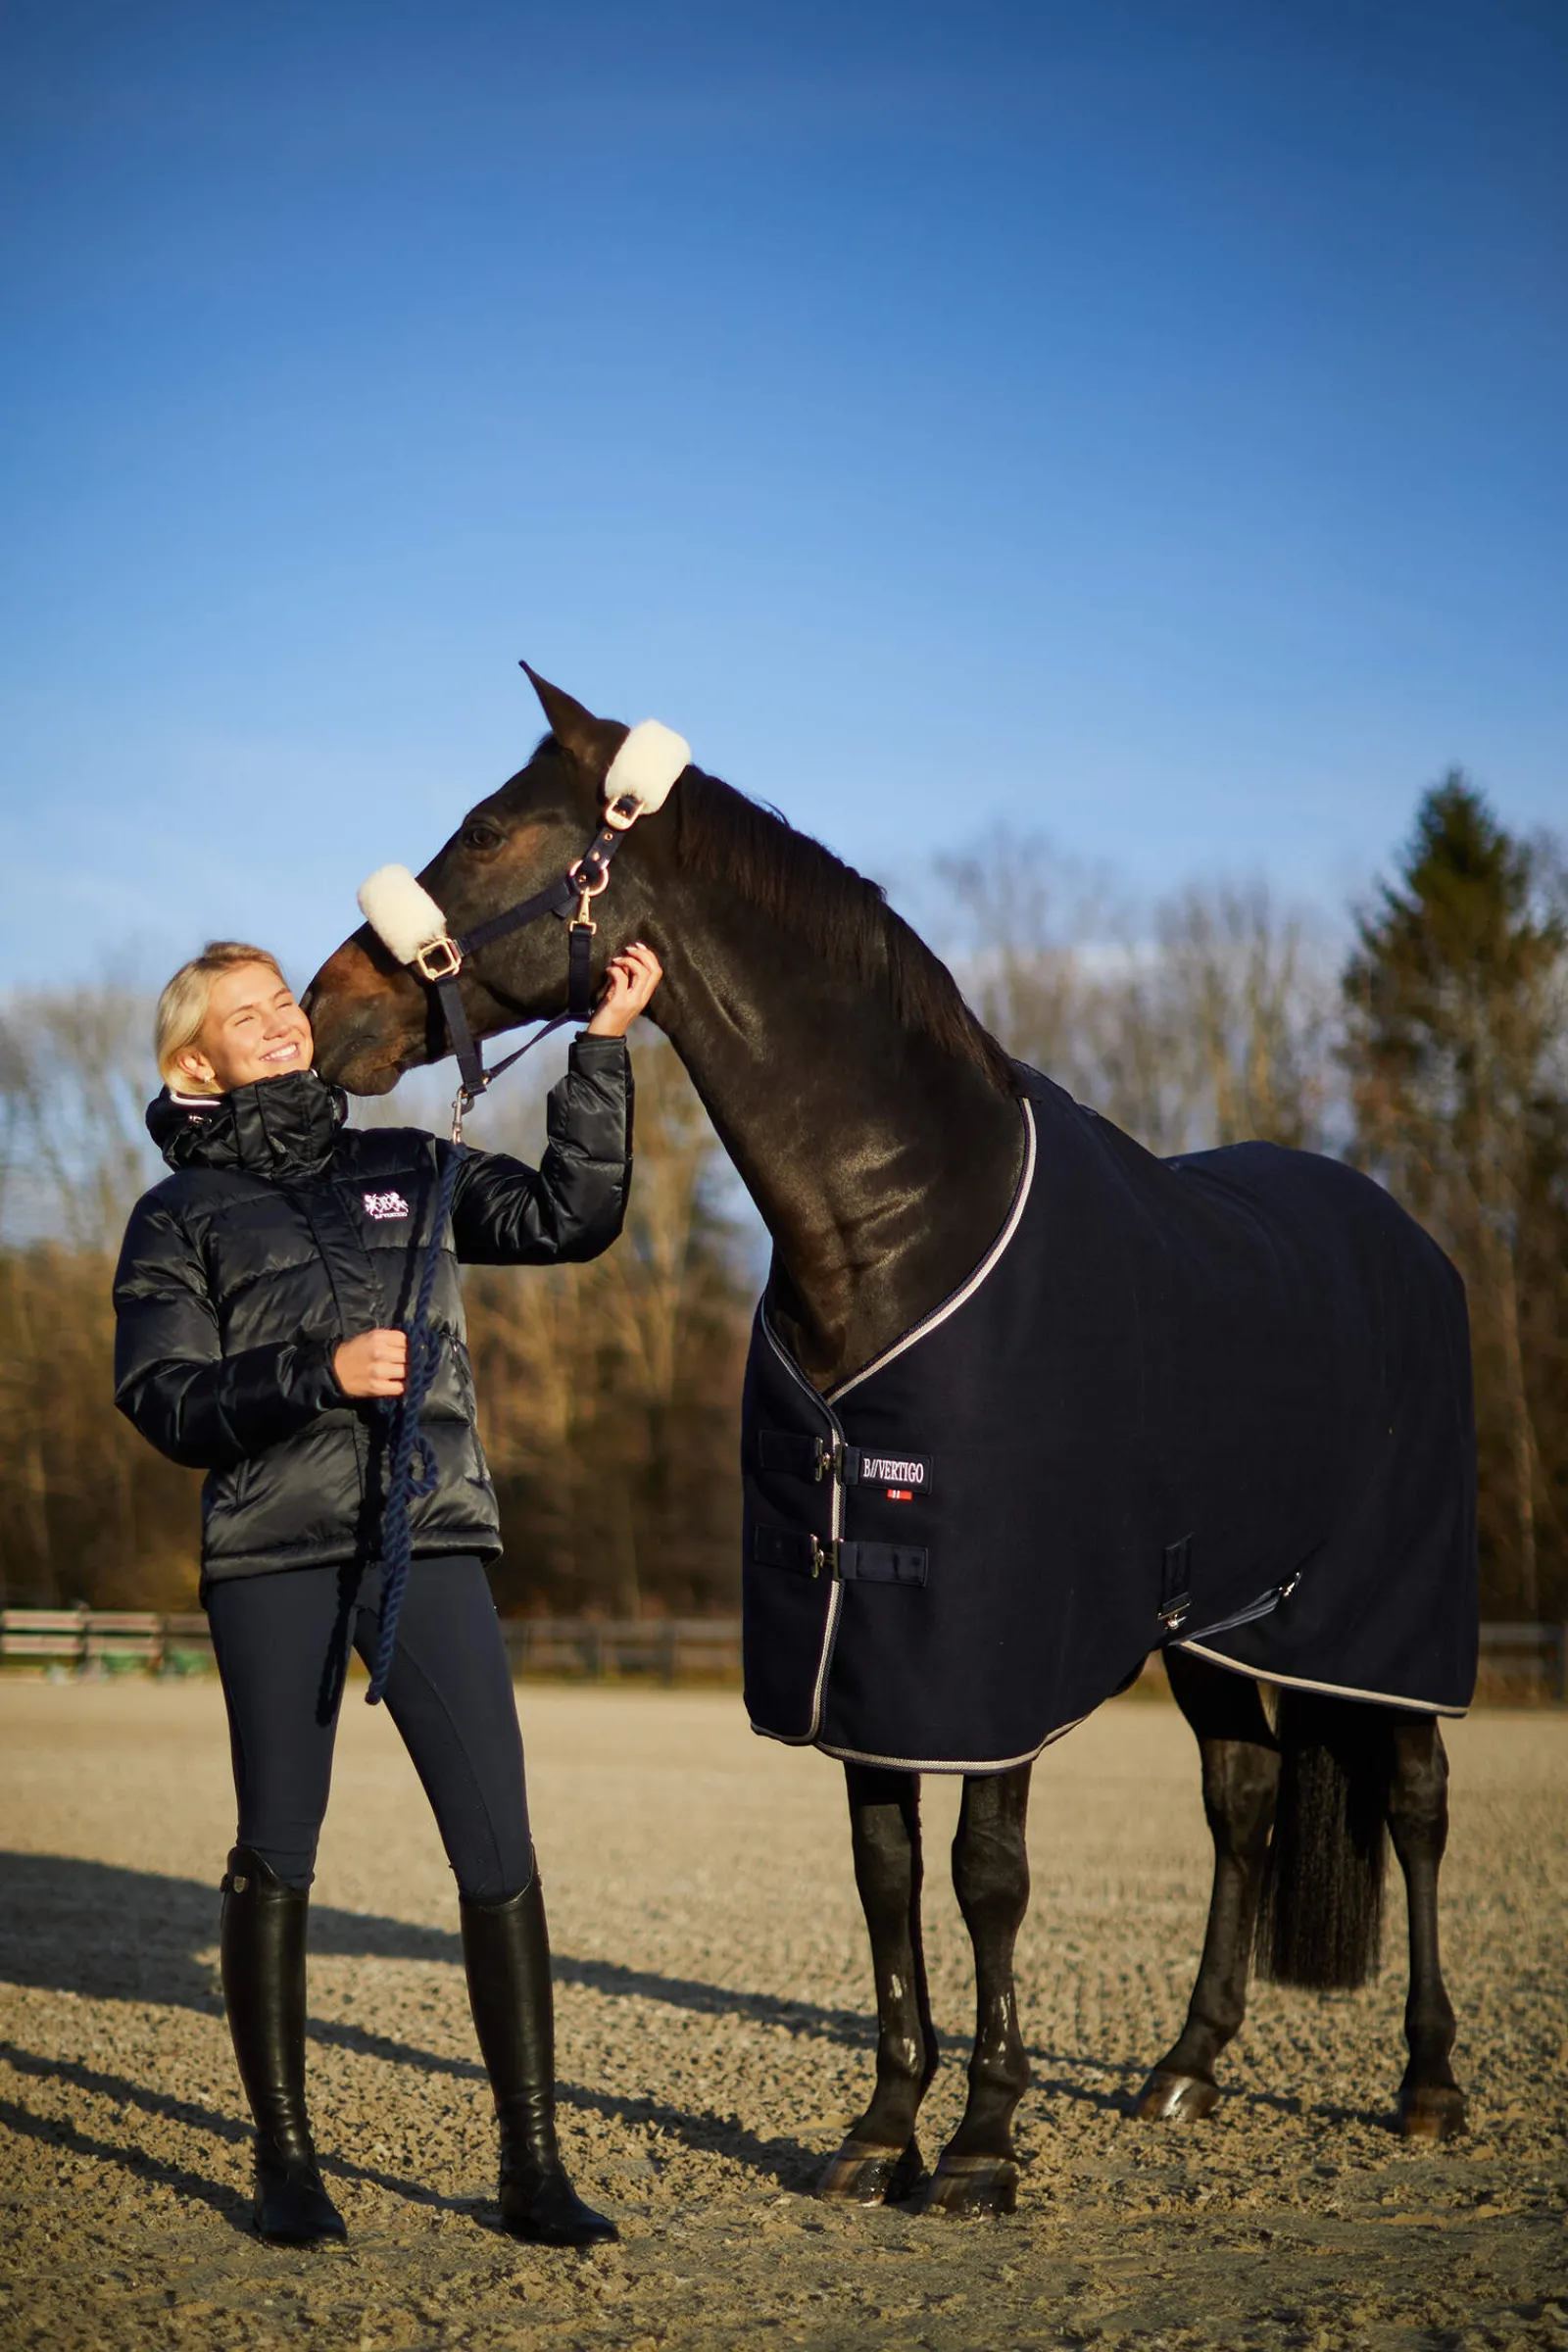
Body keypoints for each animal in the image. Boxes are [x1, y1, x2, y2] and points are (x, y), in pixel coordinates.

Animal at [303, 670, 1475, 2218]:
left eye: (490, 830)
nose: (326, 1006)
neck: (905, 1224)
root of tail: (1406, 1237)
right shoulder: (855, 1642)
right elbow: (882, 1871)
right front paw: (881, 2132)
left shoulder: (990, 1646)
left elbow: (986, 1873)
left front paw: (980, 2144)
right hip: (1216, 1619)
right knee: (1243, 1796)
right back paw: (1186, 2068)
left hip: (1388, 1624)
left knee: (1415, 1806)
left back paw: (1429, 2083)